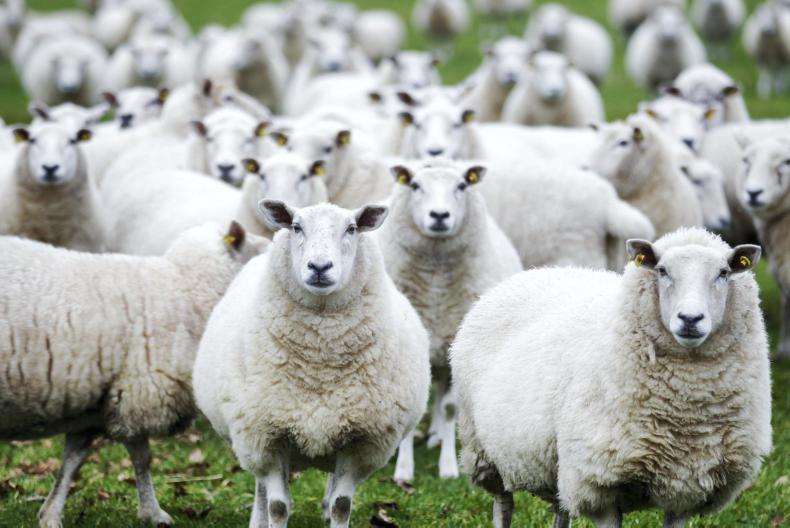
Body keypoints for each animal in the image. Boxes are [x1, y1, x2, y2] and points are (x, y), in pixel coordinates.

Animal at [0, 222, 268, 528]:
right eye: (261, 250)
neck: (183, 288)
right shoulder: (139, 390)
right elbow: (143, 459)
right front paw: (153, 513)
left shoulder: (96, 402)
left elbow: (73, 459)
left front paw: (50, 513)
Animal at [192, 201, 430, 528]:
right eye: (296, 227)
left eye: (351, 228)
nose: (319, 267)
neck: (321, 365)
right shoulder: (266, 436)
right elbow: (277, 505)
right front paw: (270, 517)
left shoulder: (360, 441)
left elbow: (342, 504)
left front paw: (334, 512)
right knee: (261, 487)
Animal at [374, 160, 522, 482]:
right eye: (415, 185)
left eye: (462, 186)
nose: (440, 215)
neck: (436, 282)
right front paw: (404, 470)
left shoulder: (458, 342)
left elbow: (451, 407)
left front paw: (449, 468)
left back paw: (439, 435)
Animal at [450, 227, 770, 527]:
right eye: (662, 270)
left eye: (723, 272)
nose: (690, 319)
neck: (687, 415)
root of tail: (529, 273)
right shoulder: (598, 484)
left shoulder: (685, 488)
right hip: (484, 451)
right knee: (503, 504)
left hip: (557, 463)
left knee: (560, 509)